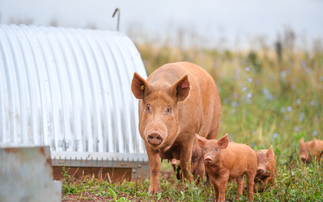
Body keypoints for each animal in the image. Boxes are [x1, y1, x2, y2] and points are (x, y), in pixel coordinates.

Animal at [130, 61, 221, 193]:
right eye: (148, 107)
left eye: (169, 108)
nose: (155, 133)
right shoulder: (146, 139)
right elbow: (155, 166)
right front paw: (153, 192)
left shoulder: (189, 136)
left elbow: (185, 164)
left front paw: (189, 190)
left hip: (214, 129)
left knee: (202, 165)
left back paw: (206, 188)